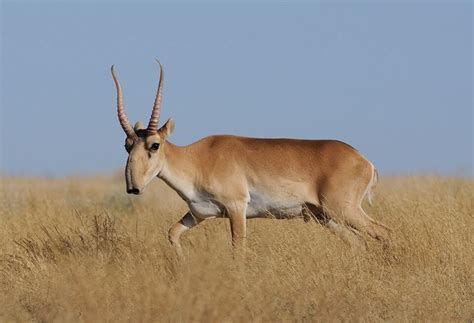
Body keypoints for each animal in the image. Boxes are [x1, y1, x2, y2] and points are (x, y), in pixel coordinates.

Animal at [111, 60, 388, 253]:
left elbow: (238, 249)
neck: (197, 159)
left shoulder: (236, 208)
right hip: (326, 217)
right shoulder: (198, 214)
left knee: (382, 231)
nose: (133, 187)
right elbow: (172, 233)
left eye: (154, 145)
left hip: (343, 210)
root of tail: (364, 160)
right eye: (127, 145)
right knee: (359, 242)